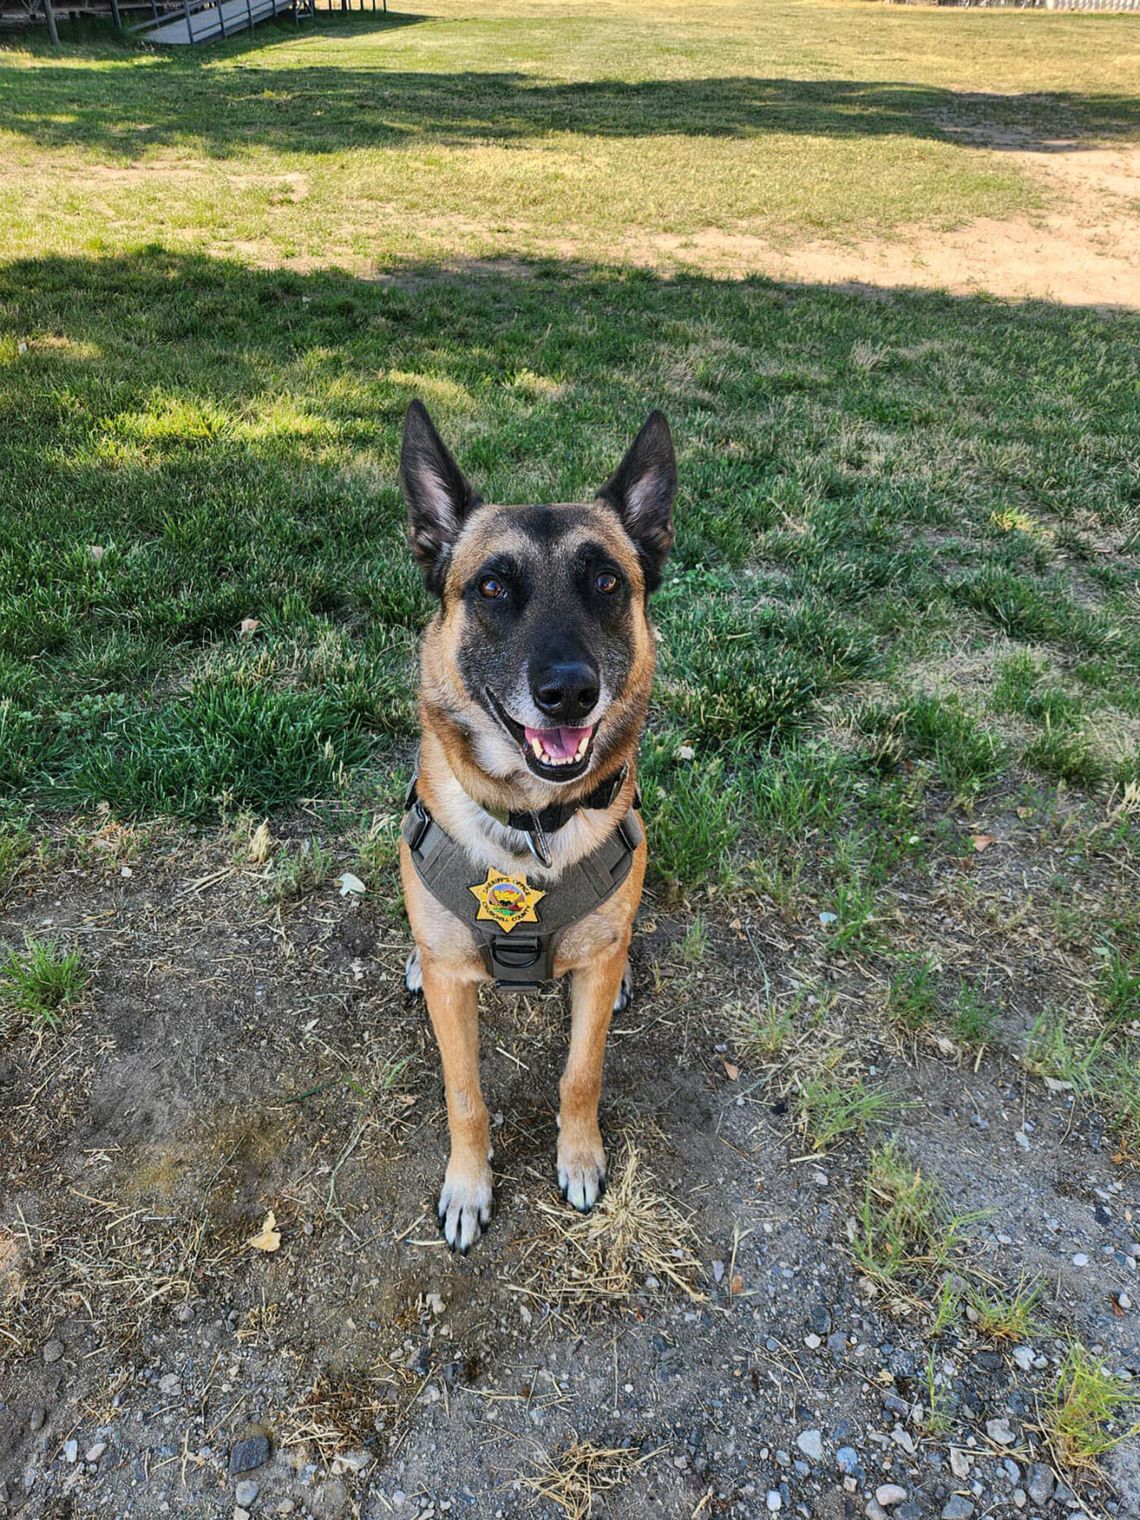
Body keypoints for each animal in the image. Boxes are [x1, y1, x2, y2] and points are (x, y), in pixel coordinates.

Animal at [398, 398, 674, 1252]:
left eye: (606, 581)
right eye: (492, 586)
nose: (569, 692)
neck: (532, 823)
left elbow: (582, 1074)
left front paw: (580, 1158)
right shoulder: (455, 1004)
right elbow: (465, 1096)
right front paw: (467, 1187)